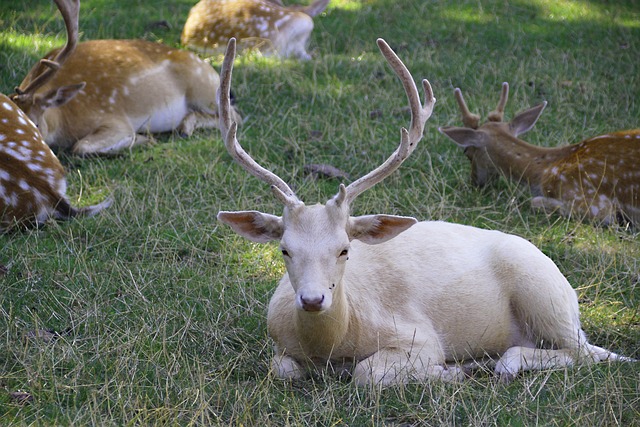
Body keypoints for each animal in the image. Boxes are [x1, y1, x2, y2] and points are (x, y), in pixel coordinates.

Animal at [11, 0, 241, 157]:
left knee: (234, 117)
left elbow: (80, 146)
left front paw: (143, 139)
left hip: (205, 90)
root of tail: (209, 67)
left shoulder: (114, 120)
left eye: (36, 124)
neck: (63, 117)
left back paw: (184, 128)